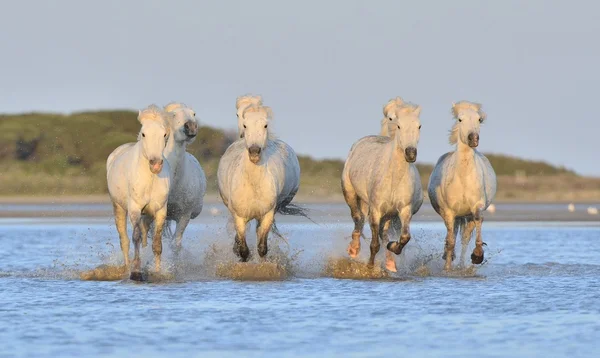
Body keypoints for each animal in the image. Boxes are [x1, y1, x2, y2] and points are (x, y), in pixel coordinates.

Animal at [105, 105, 170, 282]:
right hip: (119, 208)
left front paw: (158, 273)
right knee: (125, 240)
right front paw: (136, 272)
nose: (155, 164)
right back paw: (127, 268)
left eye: (164, 134)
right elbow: (135, 238)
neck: (150, 179)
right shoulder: (134, 209)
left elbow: (157, 244)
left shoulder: (161, 210)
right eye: (143, 133)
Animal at [218, 102, 302, 262]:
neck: (253, 185)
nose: (254, 152)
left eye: (265, 125)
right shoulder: (239, 216)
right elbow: (243, 249)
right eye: (245, 125)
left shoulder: (268, 214)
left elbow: (262, 247)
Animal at [340, 100, 424, 272]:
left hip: (389, 214)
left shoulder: (404, 210)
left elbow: (404, 237)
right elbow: (374, 244)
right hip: (351, 194)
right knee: (358, 219)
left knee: (383, 233)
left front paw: (393, 247)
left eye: (419, 126)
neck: (393, 178)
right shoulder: (376, 210)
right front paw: (370, 267)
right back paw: (353, 250)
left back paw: (390, 262)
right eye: (399, 125)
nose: (410, 153)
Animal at [428, 102, 500, 270]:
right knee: (452, 236)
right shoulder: (449, 212)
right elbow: (450, 242)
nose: (473, 138)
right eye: (460, 119)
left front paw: (478, 255)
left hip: (466, 216)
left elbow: (478, 220)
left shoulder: (476, 206)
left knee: (465, 239)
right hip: (455, 216)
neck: (463, 177)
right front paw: (447, 268)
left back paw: (461, 265)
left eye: (479, 119)